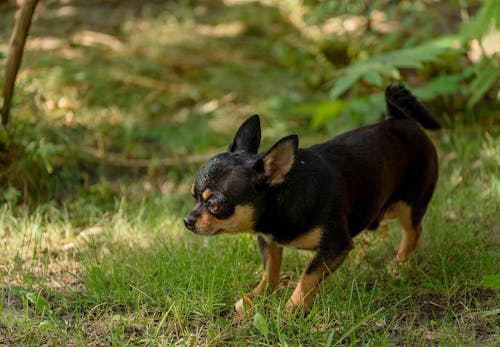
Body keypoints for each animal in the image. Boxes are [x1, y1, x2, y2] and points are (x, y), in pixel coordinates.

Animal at [183, 86, 438, 316]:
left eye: (215, 206)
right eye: (193, 196)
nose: (187, 220)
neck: (283, 200)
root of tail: (398, 119)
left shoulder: (336, 246)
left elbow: (308, 276)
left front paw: (293, 308)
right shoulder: (268, 241)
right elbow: (270, 271)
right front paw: (256, 297)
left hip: (408, 205)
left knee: (414, 230)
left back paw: (399, 263)